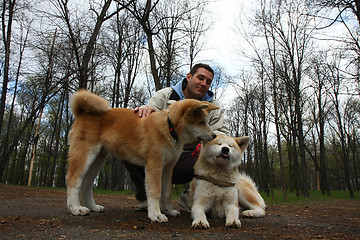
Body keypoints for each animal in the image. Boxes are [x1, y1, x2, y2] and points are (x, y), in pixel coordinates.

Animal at [66, 89, 218, 223]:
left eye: (207, 121)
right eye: (201, 122)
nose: (214, 136)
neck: (169, 127)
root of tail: (82, 112)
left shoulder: (168, 167)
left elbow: (166, 192)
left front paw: (169, 211)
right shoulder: (154, 164)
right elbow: (155, 191)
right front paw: (156, 214)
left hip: (98, 158)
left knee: (86, 183)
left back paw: (93, 207)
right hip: (85, 154)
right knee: (74, 179)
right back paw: (76, 208)